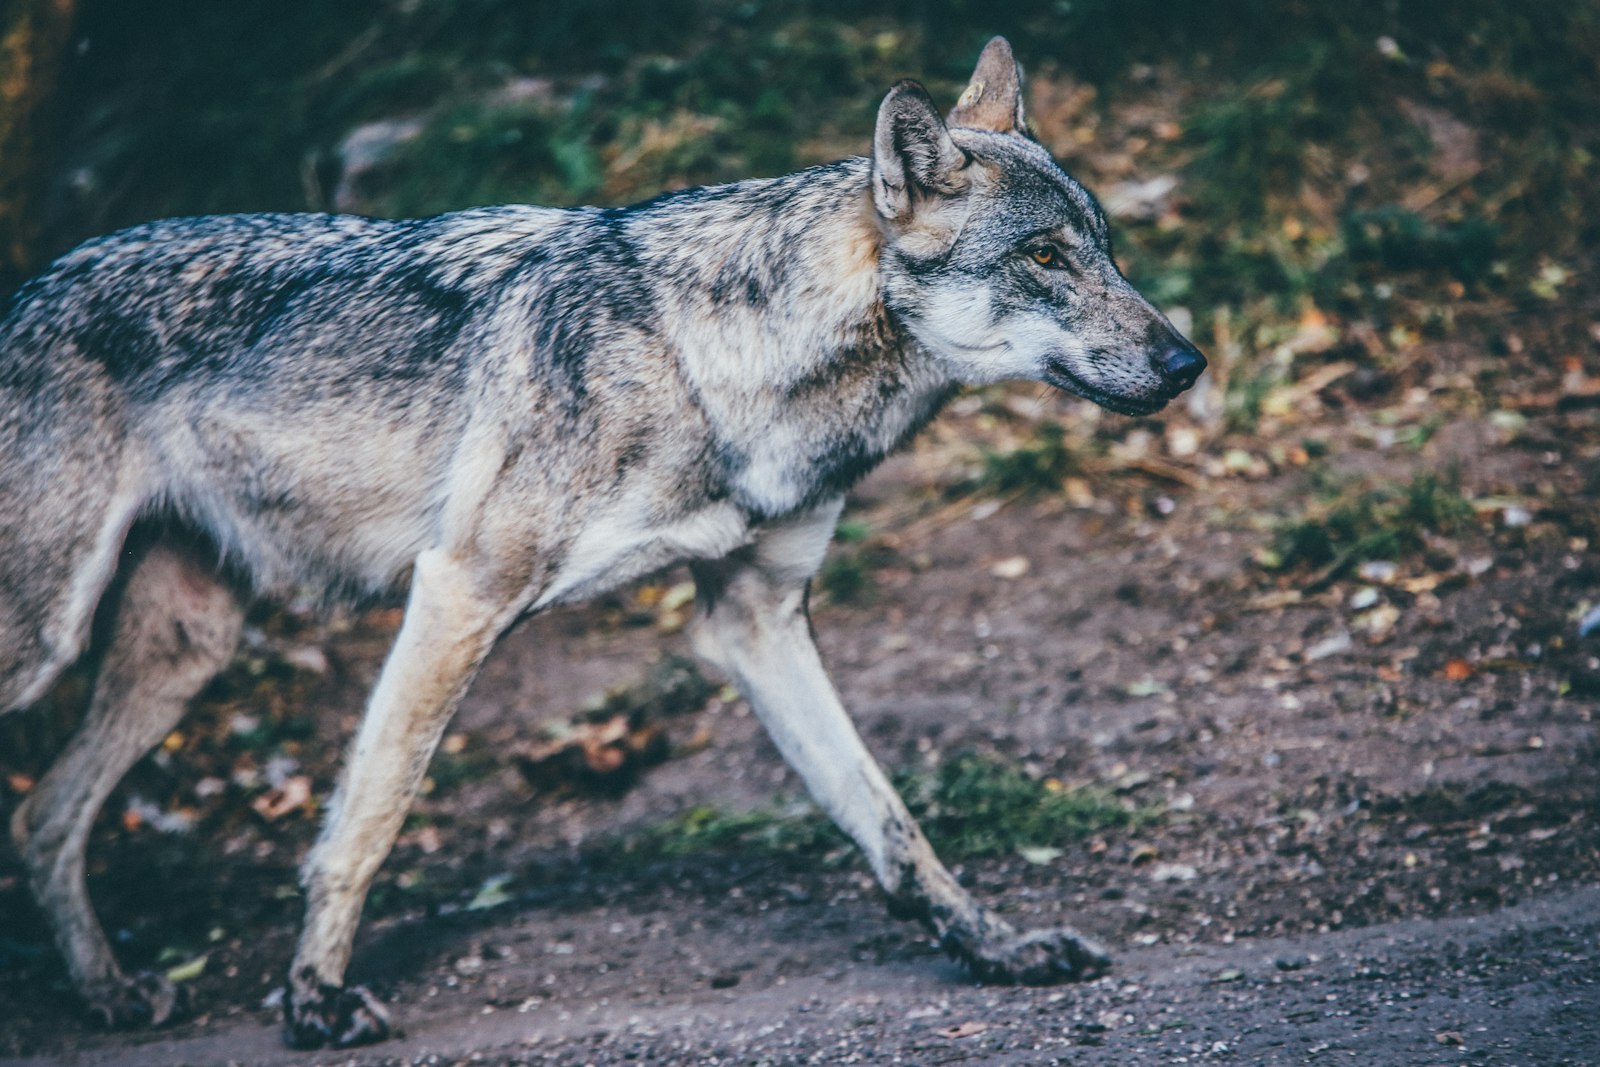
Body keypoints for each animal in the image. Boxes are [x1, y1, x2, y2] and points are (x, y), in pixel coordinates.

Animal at [0, 37, 1203, 1049]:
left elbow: (893, 825)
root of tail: (26, 287)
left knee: (44, 814)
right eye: (1044, 256)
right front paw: (316, 998)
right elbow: (369, 817)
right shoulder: (459, 592)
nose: (1188, 361)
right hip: (49, 640)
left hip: (184, 649)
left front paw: (997, 947)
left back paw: (109, 993)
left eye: (1106, 250)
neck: (711, 363)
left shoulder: (756, 621)